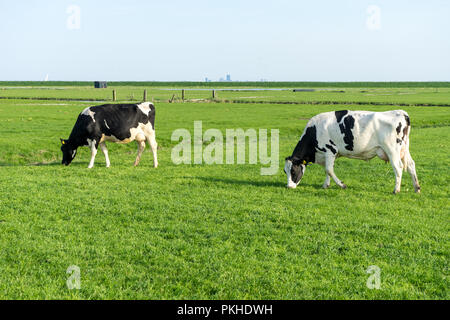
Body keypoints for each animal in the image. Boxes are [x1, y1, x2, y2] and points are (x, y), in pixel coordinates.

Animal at [284, 110, 422, 194]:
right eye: (285, 171)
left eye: (293, 171)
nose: (289, 186)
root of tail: (401, 113)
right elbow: (327, 170)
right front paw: (325, 185)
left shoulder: (330, 150)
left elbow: (329, 170)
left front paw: (342, 185)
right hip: (404, 149)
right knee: (411, 165)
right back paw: (417, 188)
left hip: (392, 149)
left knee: (398, 167)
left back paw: (396, 190)